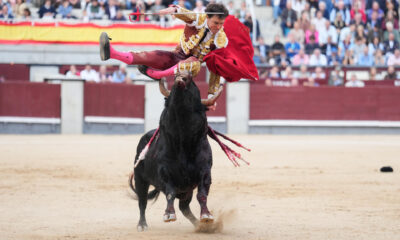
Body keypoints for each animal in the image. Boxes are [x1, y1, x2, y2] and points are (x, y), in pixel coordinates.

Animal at [130, 73, 222, 231]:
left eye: (194, 89)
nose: (182, 76)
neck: (183, 141)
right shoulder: (165, 172)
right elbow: (170, 193)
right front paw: (169, 214)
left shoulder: (205, 171)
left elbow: (202, 194)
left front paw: (206, 216)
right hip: (140, 179)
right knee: (142, 202)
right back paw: (142, 225)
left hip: (186, 191)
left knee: (184, 208)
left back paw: (199, 225)